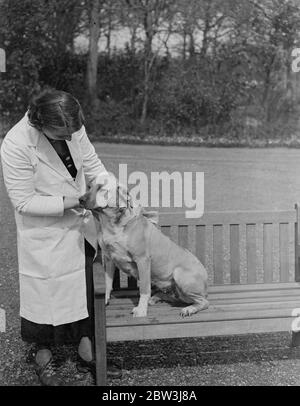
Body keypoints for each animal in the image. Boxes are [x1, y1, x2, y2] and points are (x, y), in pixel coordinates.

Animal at [82, 174, 209, 318]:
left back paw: (189, 309)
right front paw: (105, 299)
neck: (112, 224)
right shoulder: (109, 259)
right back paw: (157, 297)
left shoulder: (142, 260)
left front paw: (141, 310)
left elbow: (144, 289)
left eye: (101, 188)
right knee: (177, 298)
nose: (80, 199)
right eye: (89, 186)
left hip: (180, 275)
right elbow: (108, 283)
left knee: (203, 302)